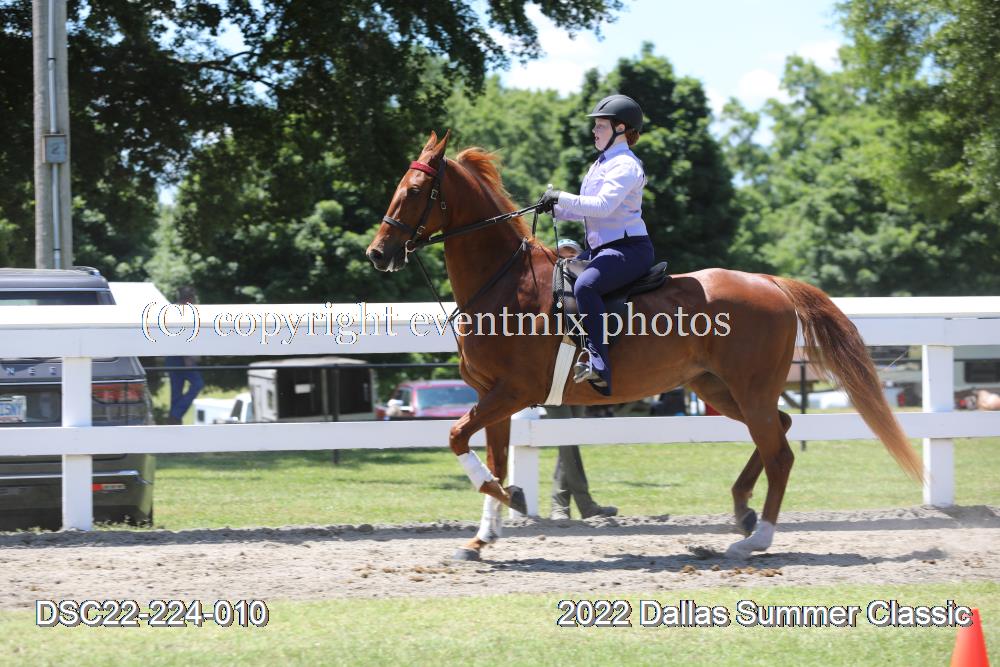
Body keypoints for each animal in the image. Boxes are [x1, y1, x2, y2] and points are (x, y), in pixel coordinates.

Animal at [366, 130, 923, 560]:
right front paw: (484, 535)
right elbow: (492, 460)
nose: (377, 253)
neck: (505, 283)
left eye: (415, 189)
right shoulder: (493, 398)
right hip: (720, 390)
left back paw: (756, 539)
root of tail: (769, 283)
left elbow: (458, 438)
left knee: (780, 452)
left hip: (749, 390)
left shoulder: (511, 394)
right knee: (778, 432)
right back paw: (742, 510)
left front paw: (514, 502)